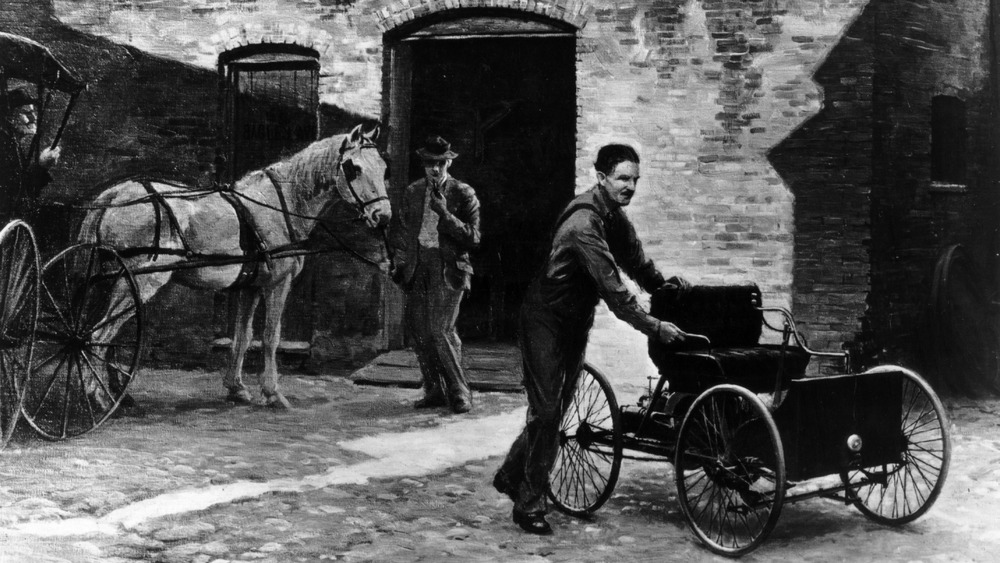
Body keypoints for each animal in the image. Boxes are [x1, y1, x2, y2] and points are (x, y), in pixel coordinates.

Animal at [77, 123, 390, 408]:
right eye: (353, 168)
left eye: (384, 168)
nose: (382, 216)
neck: (278, 204)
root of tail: (114, 196)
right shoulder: (277, 284)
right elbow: (270, 337)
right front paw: (273, 393)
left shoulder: (248, 287)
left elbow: (243, 335)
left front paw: (236, 388)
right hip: (141, 282)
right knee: (99, 335)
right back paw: (100, 398)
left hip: (118, 281)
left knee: (104, 333)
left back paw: (114, 394)